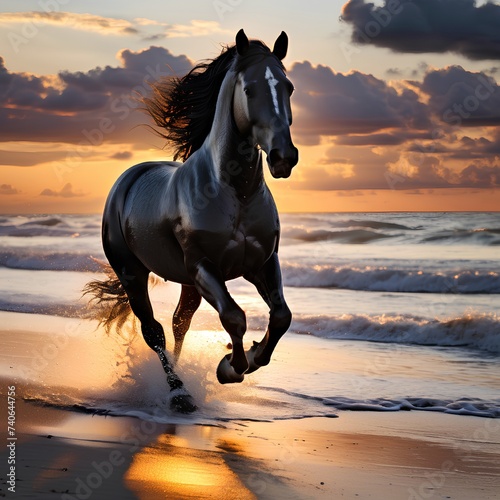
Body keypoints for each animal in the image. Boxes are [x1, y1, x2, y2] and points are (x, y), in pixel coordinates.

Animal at [85, 29, 296, 412]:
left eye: (288, 87)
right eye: (249, 90)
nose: (283, 157)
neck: (236, 192)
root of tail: (128, 178)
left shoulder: (262, 263)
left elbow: (281, 316)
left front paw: (252, 356)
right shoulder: (204, 267)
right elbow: (234, 317)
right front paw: (230, 368)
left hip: (187, 283)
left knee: (179, 324)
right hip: (133, 272)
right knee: (154, 330)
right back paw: (179, 393)